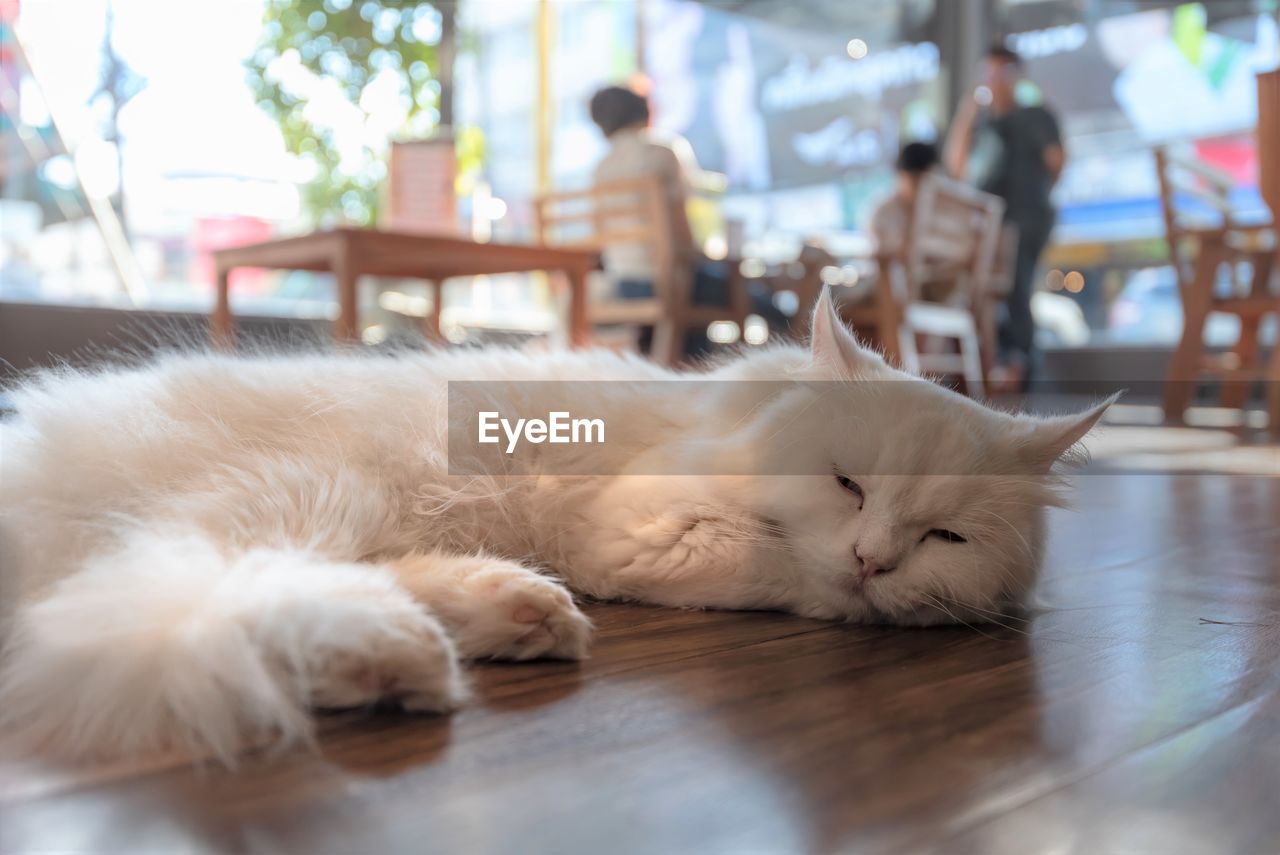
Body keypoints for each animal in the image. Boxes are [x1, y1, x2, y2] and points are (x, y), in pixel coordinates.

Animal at [0, 291, 1111, 762]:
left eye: (945, 537)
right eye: (846, 484)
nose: (877, 558)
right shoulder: (641, 527)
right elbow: (784, 572)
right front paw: (853, 592)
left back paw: (507, 616)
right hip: (300, 491)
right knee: (170, 601)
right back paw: (391, 653)